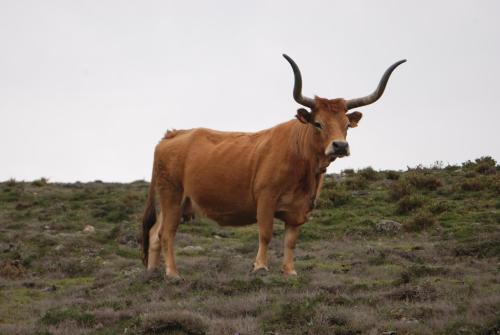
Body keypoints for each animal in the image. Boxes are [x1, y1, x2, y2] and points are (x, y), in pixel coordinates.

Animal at [142, 55, 406, 280]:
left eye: (346, 125)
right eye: (318, 123)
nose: (340, 146)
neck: (304, 168)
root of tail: (173, 134)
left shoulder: (300, 209)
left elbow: (290, 240)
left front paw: (289, 271)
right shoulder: (265, 199)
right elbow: (266, 233)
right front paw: (260, 267)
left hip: (176, 201)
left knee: (155, 233)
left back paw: (152, 272)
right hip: (171, 196)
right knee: (167, 234)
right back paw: (172, 273)